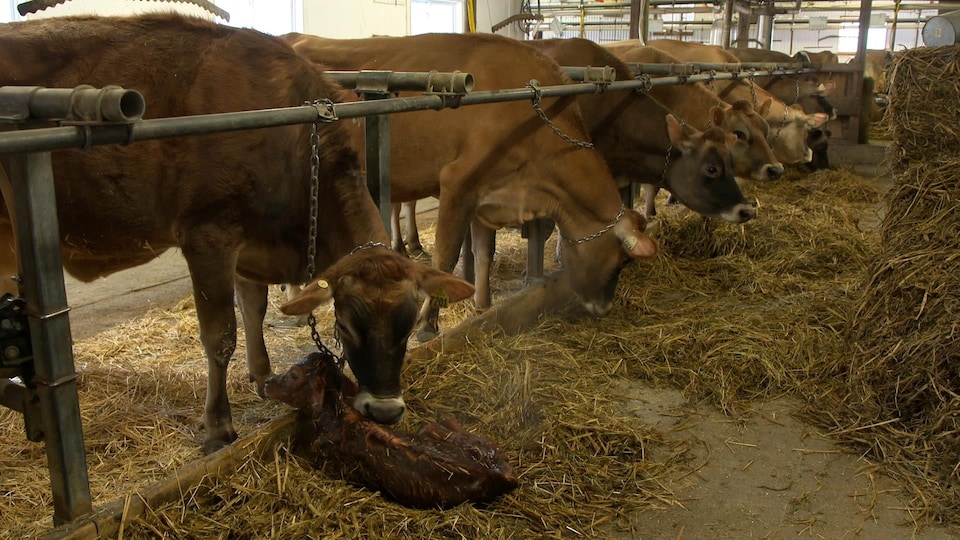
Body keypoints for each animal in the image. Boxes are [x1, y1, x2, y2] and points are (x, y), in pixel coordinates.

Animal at [0, 12, 478, 454]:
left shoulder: (252, 243)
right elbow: (220, 336)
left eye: (409, 322)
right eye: (343, 323)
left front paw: (264, 375)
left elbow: (254, 308)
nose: (385, 411)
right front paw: (218, 427)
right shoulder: (208, 235)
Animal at [282, 31, 660, 340]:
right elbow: (445, 259)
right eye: (621, 262)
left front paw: (482, 304)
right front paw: (427, 325)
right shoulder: (457, 183)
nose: (603, 309)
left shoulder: (486, 195)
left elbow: (482, 252)